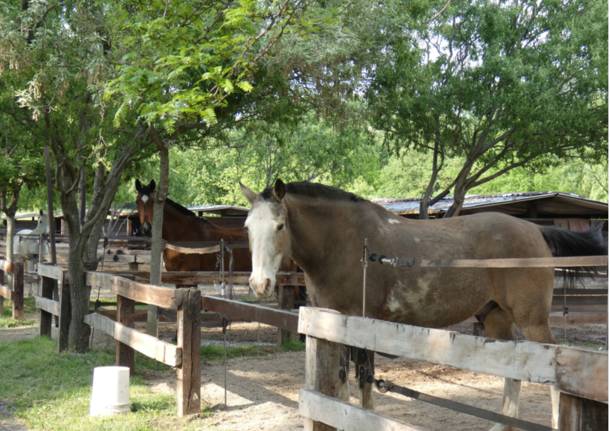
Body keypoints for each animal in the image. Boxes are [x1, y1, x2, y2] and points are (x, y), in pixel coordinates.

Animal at [240, 180, 604, 431]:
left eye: (280, 226)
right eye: (247, 227)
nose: (259, 284)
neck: (347, 244)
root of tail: (534, 229)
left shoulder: (363, 323)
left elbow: (365, 378)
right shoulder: (331, 325)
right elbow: (342, 381)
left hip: (532, 320)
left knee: (552, 372)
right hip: (495, 317)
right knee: (510, 370)